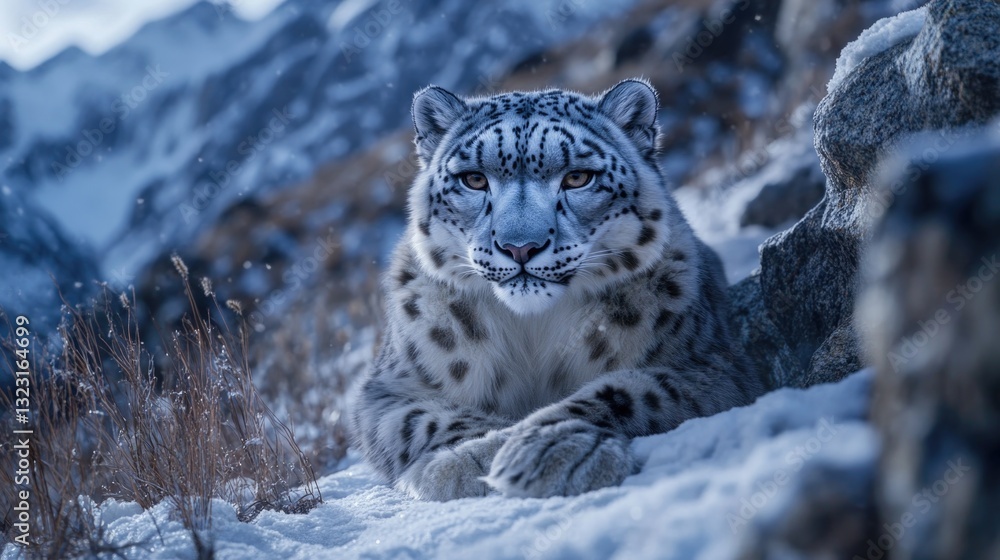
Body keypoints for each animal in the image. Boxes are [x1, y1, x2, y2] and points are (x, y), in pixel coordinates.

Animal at [350, 78, 763, 501]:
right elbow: (421, 419)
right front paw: (469, 456)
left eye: (578, 177)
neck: (533, 333)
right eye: (474, 179)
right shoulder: (388, 389)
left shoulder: (711, 366)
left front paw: (552, 448)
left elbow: (632, 390)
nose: (520, 246)